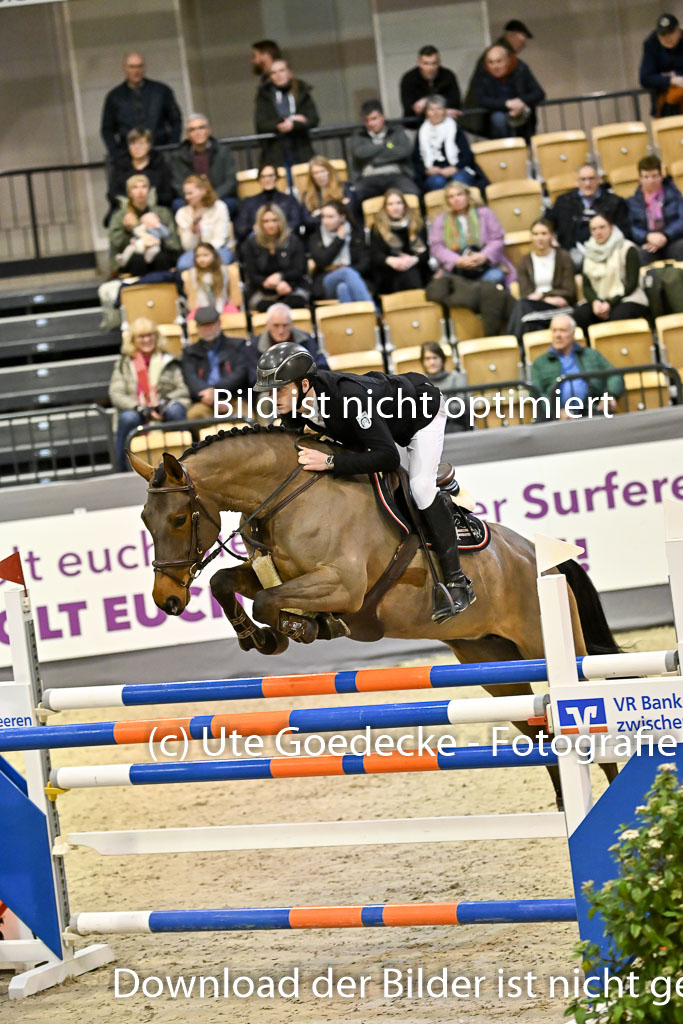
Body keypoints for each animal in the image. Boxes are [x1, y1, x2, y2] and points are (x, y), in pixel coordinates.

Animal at [129, 424, 620, 805]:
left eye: (178, 519)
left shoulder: (342, 585)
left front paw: (295, 627)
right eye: (145, 519)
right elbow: (224, 582)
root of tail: (540, 555)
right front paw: (259, 637)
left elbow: (270, 601)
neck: (290, 495)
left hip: (546, 644)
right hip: (492, 661)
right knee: (540, 735)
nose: (166, 599)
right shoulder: (272, 572)